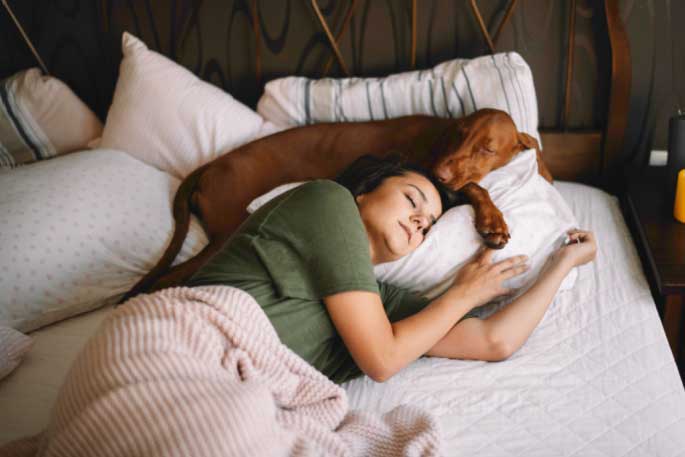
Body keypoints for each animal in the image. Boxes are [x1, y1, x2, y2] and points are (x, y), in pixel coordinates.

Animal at [121, 107, 552, 300]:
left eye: (486, 148)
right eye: (459, 134)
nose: (440, 173)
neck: (439, 136)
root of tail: (211, 165)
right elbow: (477, 188)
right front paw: (493, 222)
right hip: (226, 234)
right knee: (171, 277)